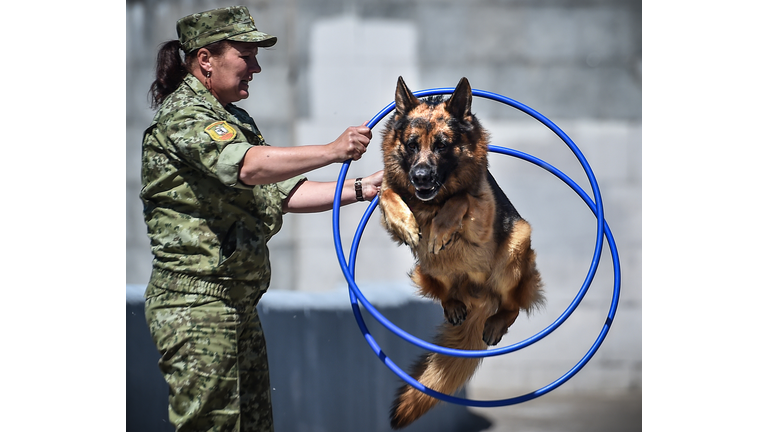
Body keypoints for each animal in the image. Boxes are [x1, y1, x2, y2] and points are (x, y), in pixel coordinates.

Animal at [380, 77, 544, 428]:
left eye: (442, 145)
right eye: (411, 144)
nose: (420, 178)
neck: (432, 203)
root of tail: (480, 298)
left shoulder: (480, 214)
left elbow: (462, 197)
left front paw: (441, 228)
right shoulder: (392, 195)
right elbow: (387, 191)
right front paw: (408, 224)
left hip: (514, 249)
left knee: (512, 306)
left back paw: (495, 323)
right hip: (426, 269)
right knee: (447, 291)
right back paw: (454, 304)